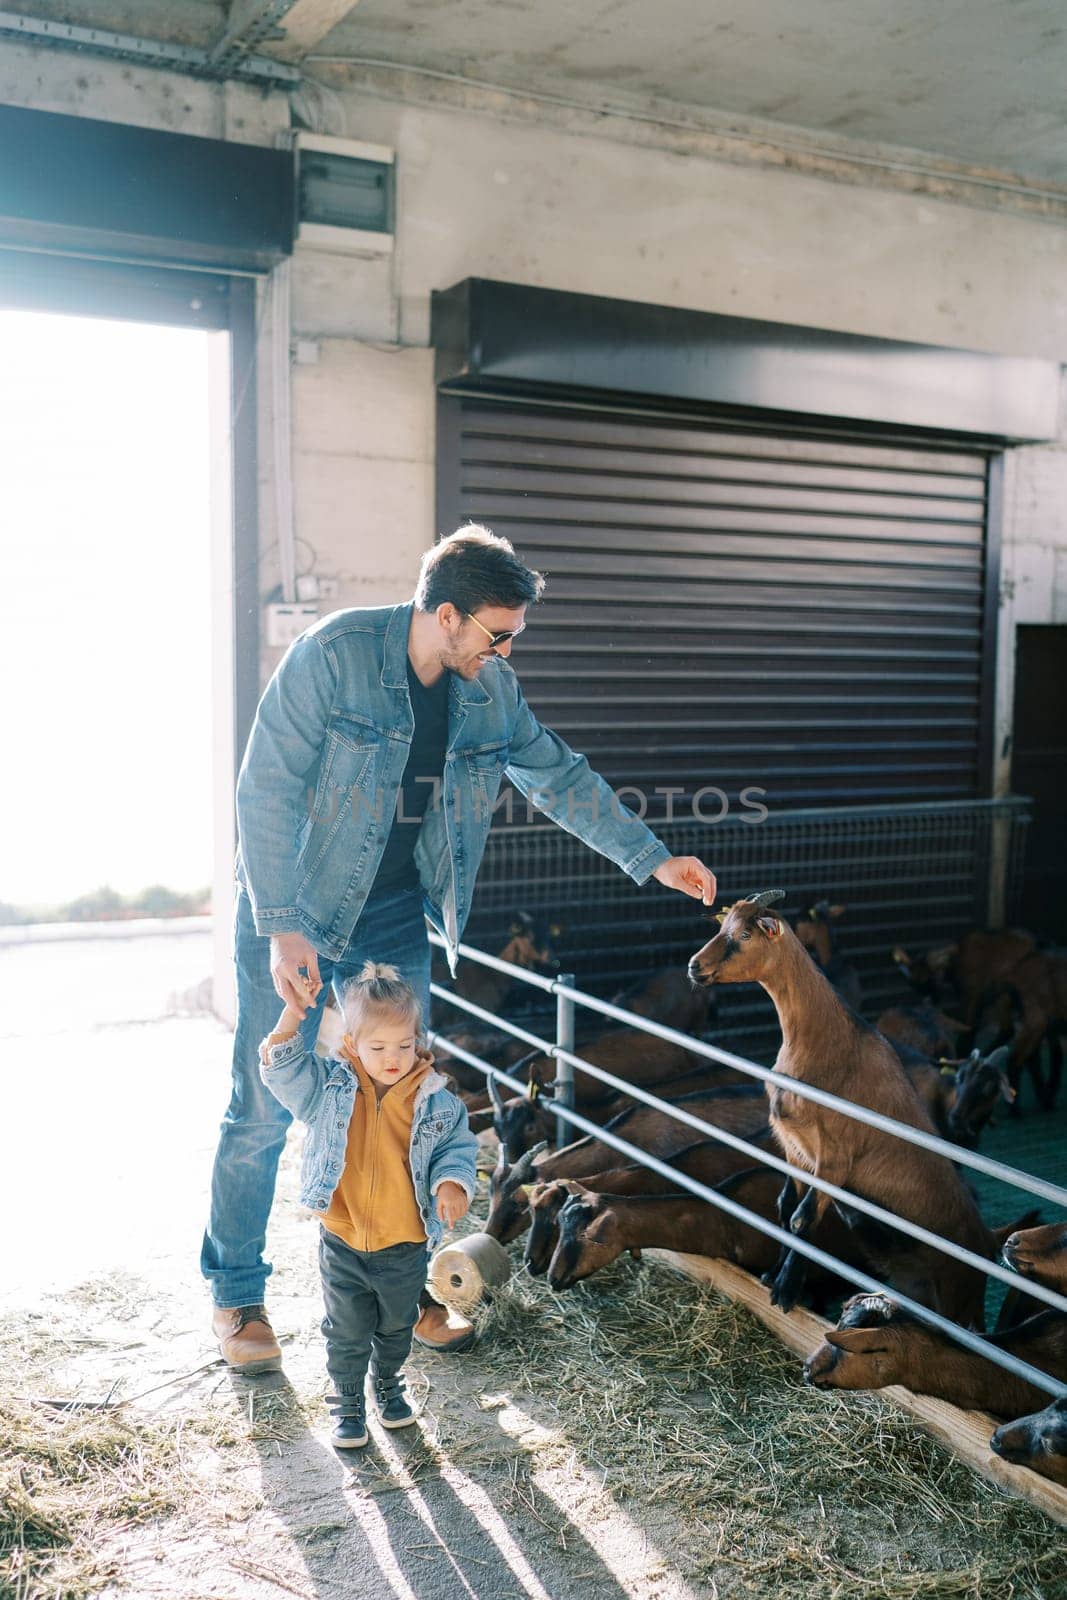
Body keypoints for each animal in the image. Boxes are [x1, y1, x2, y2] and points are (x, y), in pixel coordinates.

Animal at [687, 896, 998, 1331]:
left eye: (745, 934)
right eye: (722, 927)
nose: (694, 967)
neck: (821, 1041)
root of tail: (985, 1244)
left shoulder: (834, 1160)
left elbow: (802, 1219)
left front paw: (786, 1288)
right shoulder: (794, 1148)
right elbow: (785, 1208)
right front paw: (773, 1275)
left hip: (957, 1296)